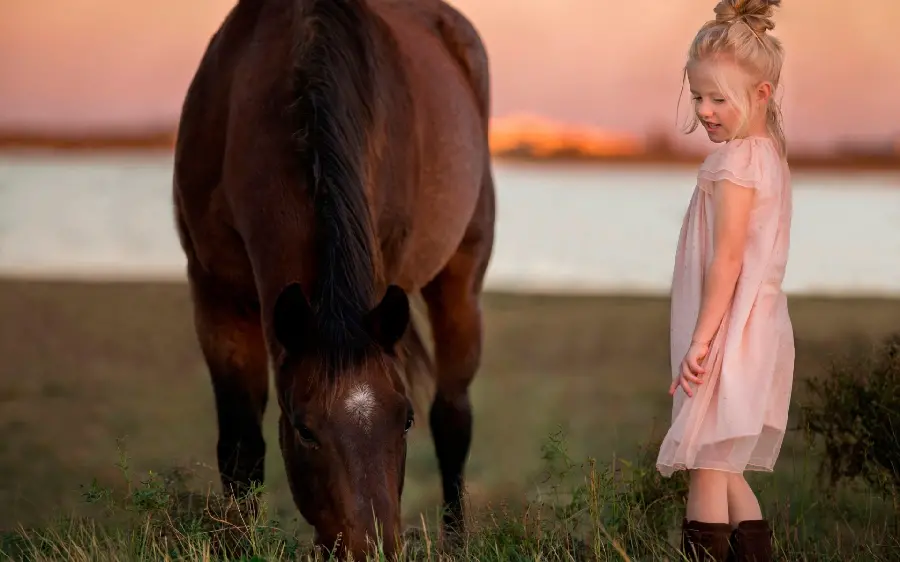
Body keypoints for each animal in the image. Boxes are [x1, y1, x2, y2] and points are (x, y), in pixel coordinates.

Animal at [172, 0, 496, 552]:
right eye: (305, 430)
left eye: (403, 420)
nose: (374, 549)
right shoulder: (217, 296)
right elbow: (240, 447)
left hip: (461, 277)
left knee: (453, 418)